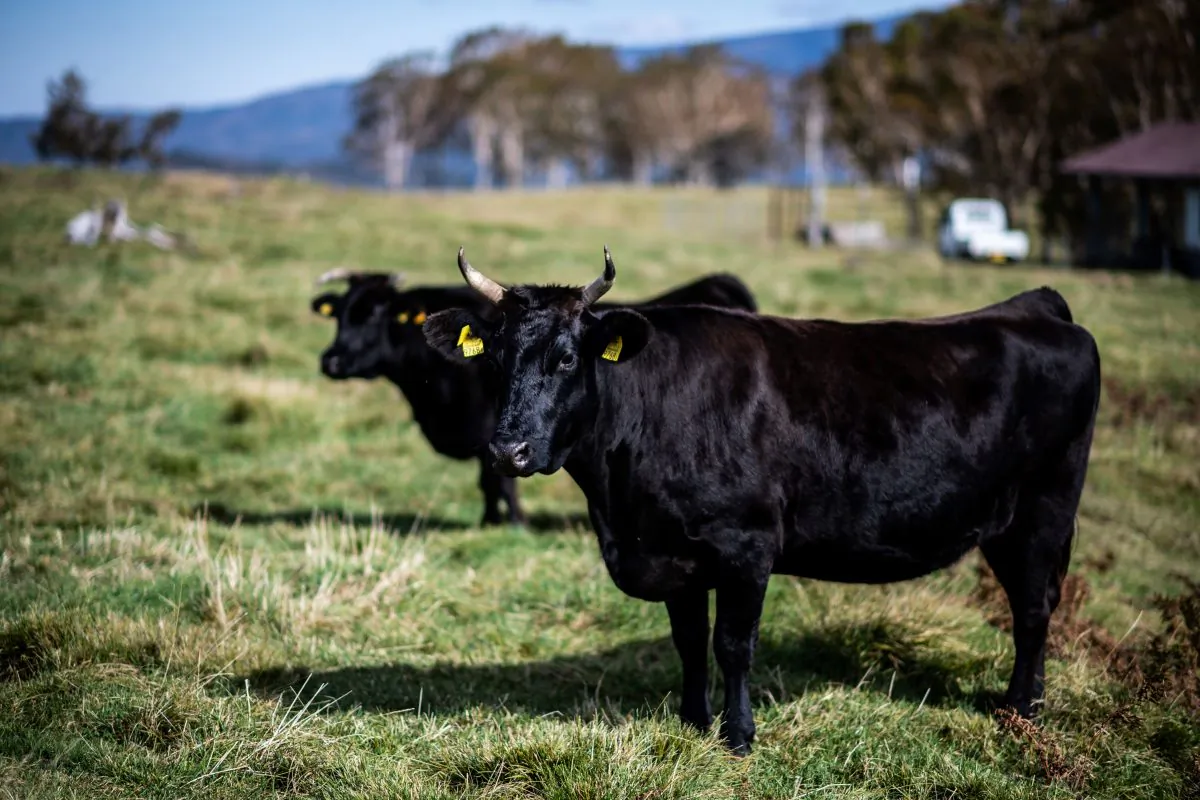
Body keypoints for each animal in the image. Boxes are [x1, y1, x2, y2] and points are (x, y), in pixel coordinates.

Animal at [309, 265, 758, 527]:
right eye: (341, 313)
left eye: (374, 314)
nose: (330, 360)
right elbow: (490, 480)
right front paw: (490, 521)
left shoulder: (488, 432)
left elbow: (497, 482)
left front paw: (512, 522)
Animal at [422, 246, 1102, 755]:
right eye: (496, 361)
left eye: (566, 359)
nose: (507, 450)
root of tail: (1034, 306)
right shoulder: (673, 553)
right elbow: (690, 641)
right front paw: (693, 721)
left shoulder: (745, 545)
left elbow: (733, 645)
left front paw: (738, 735)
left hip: (1042, 513)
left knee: (1033, 610)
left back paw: (1021, 710)